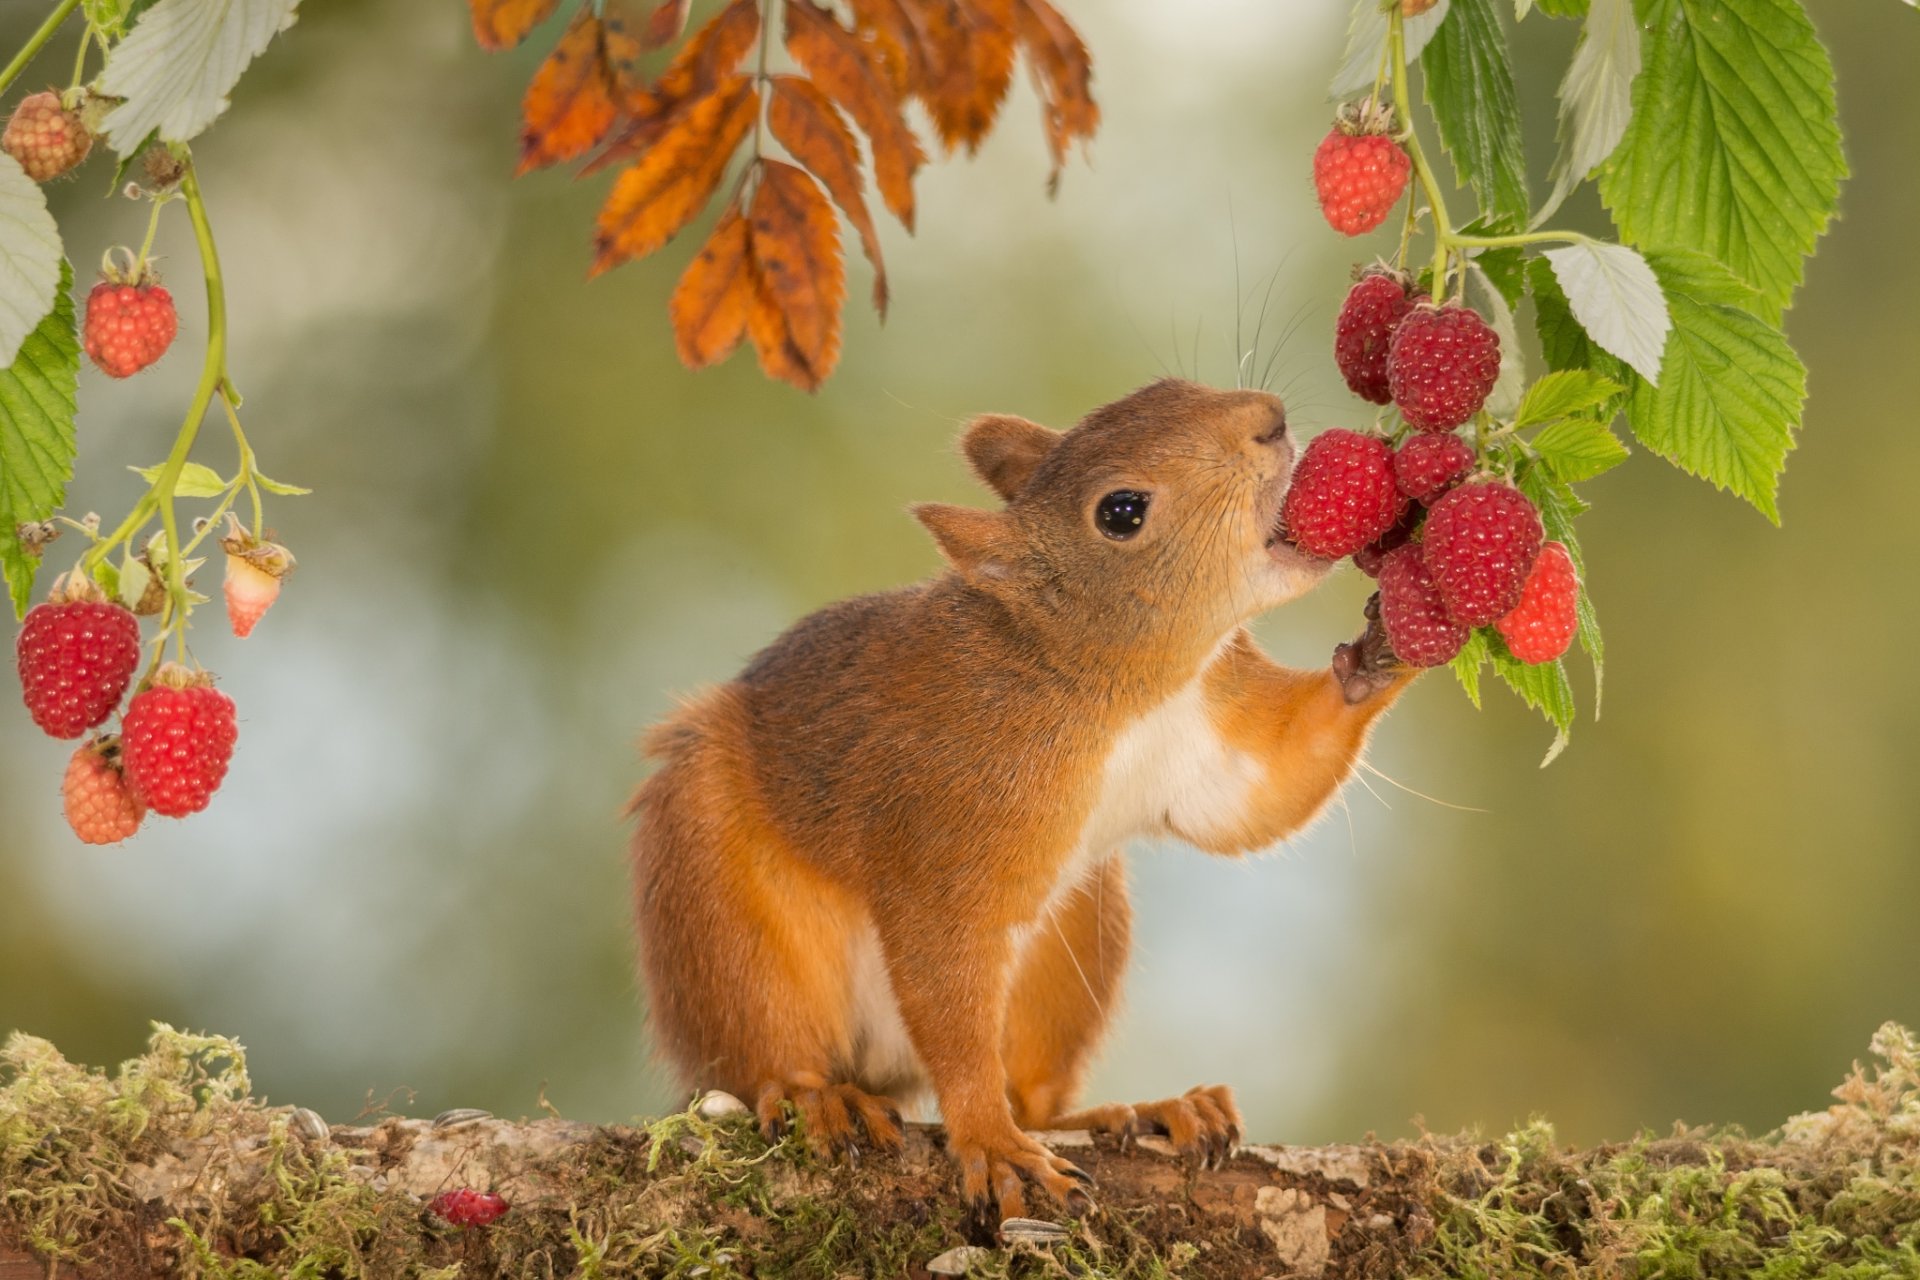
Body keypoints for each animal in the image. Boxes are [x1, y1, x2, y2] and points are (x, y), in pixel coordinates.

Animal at [628, 378, 1413, 1227]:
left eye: (1169, 387)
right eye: (1122, 512)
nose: (1268, 420)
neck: (1118, 691)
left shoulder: (1211, 729)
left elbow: (1264, 791)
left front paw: (1388, 644)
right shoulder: (948, 821)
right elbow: (947, 976)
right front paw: (988, 1140)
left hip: (1076, 936)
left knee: (1036, 1096)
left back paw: (1151, 1109)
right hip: (719, 906)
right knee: (759, 1054)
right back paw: (817, 1097)